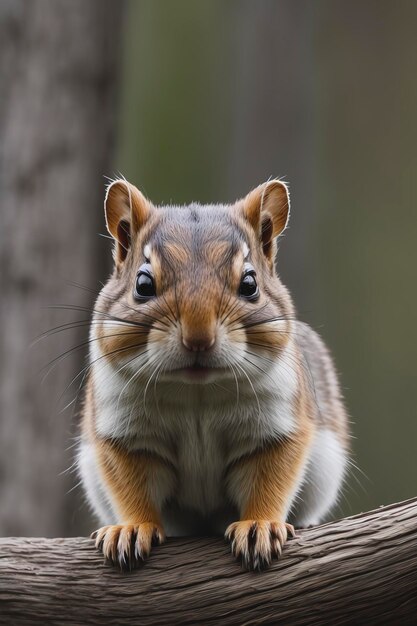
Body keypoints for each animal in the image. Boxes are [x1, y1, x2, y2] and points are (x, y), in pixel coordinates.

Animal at [78, 178, 348, 568]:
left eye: (250, 284)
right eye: (143, 285)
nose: (198, 338)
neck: (196, 391)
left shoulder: (275, 428)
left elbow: (269, 480)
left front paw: (259, 525)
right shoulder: (126, 434)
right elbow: (132, 489)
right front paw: (131, 527)